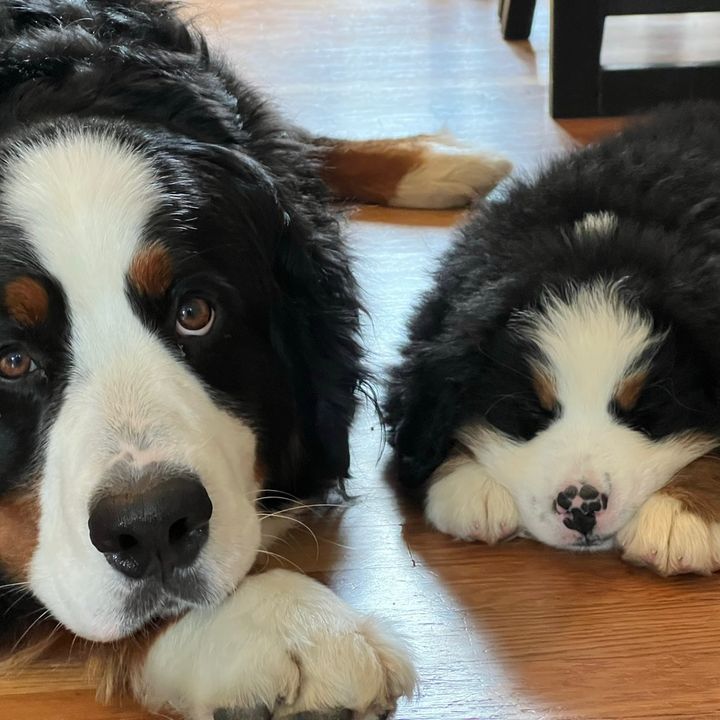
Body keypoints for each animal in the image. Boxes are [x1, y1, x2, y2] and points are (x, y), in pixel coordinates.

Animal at [388, 104, 720, 580]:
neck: (596, 241)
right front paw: (470, 479)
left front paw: (682, 514)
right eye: (528, 412)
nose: (581, 507)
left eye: (649, 412)